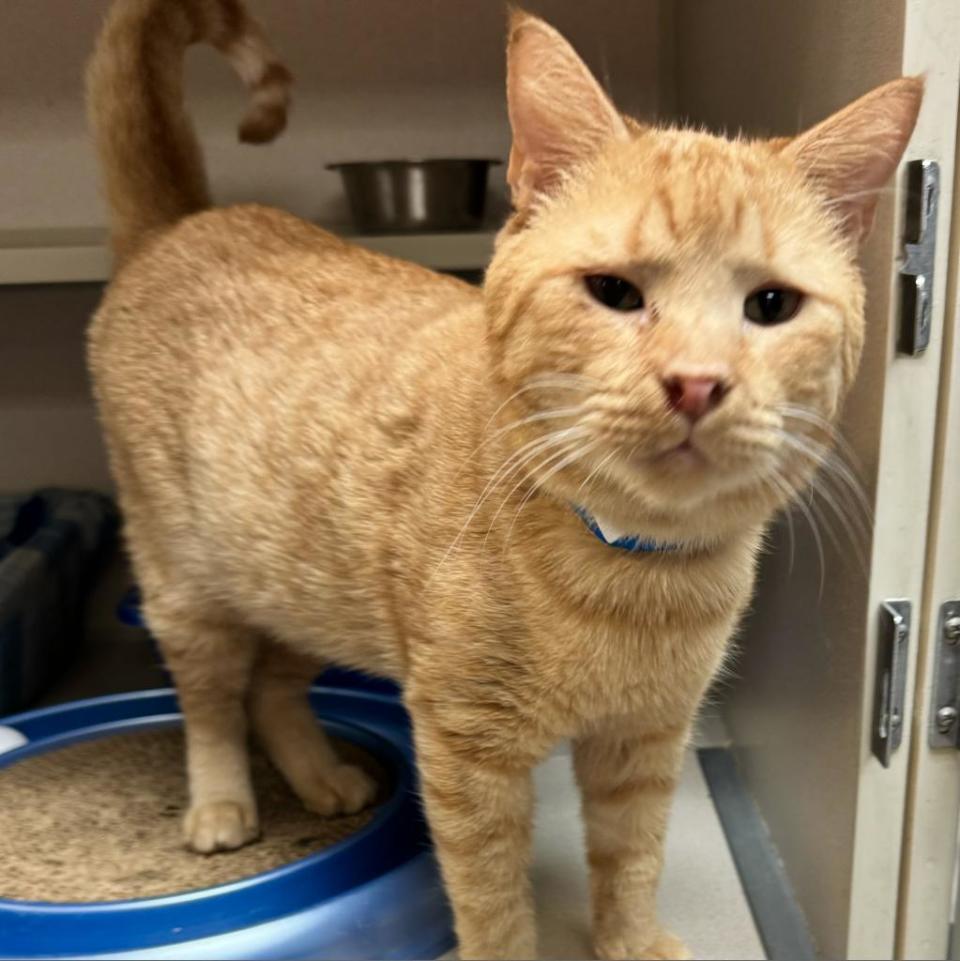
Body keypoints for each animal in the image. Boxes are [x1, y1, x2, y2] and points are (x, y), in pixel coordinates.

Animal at [88, 1, 924, 960]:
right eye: (614, 291)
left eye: (772, 305)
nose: (696, 382)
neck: (627, 571)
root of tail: (184, 221)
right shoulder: (467, 751)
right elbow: (490, 895)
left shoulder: (645, 740)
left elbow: (632, 855)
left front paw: (631, 939)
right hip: (188, 585)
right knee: (213, 702)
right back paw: (223, 802)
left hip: (306, 583)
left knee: (272, 689)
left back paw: (322, 775)